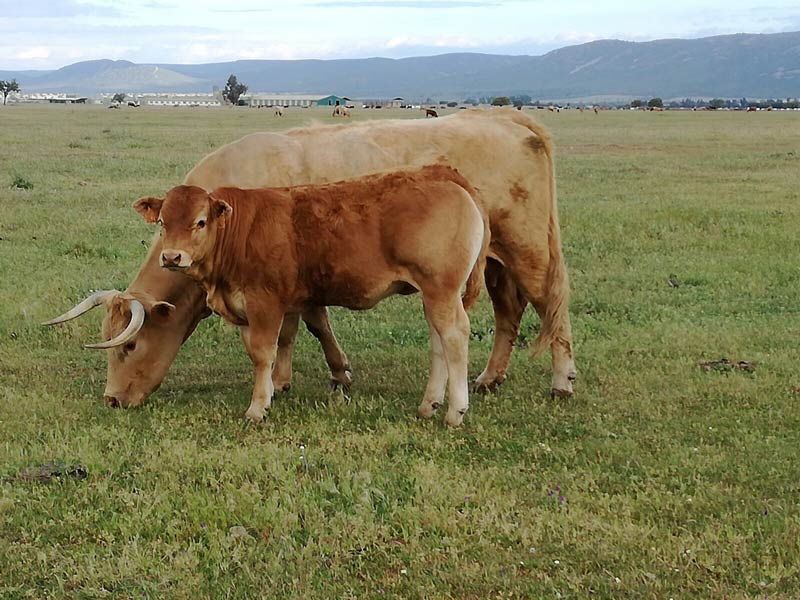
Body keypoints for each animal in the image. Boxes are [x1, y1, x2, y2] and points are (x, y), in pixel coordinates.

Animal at [133, 164, 488, 426]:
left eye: (201, 222)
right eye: (162, 222)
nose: (172, 257)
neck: (239, 232)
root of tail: (443, 176)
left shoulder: (265, 304)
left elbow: (264, 353)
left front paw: (257, 407)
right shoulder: (248, 310)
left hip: (442, 290)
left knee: (455, 335)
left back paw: (455, 410)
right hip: (433, 294)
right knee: (439, 340)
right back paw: (429, 404)